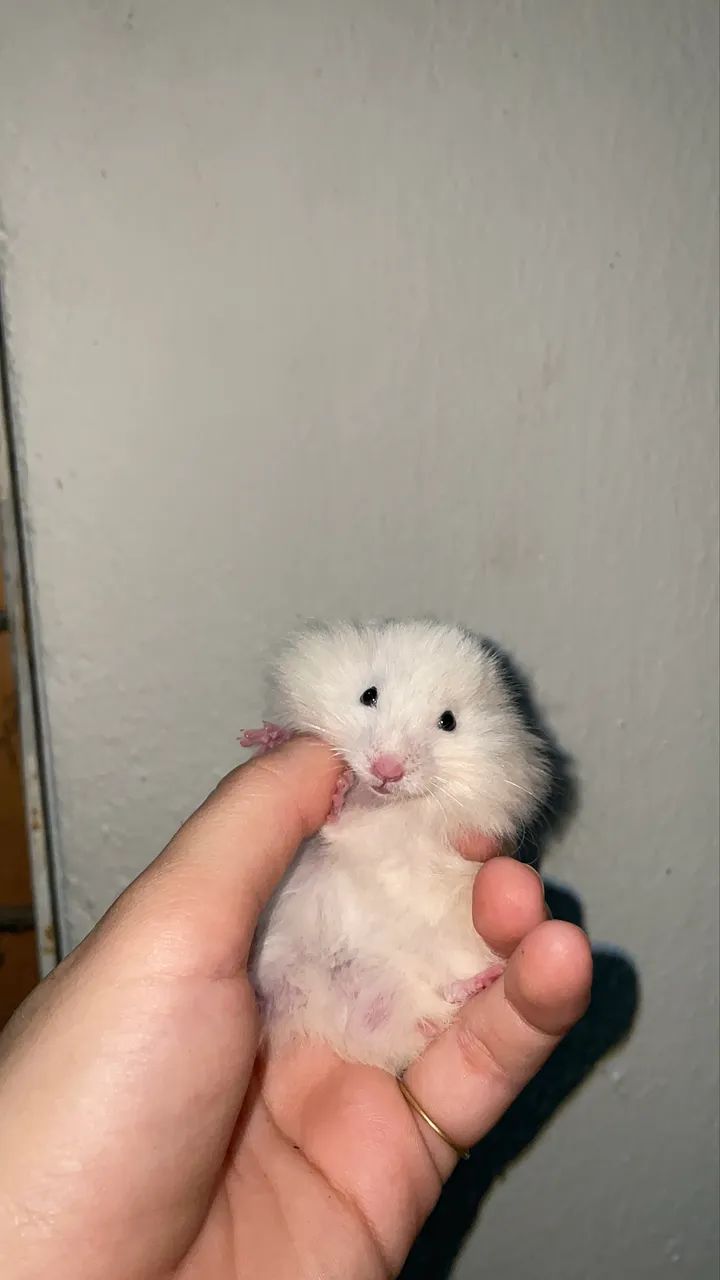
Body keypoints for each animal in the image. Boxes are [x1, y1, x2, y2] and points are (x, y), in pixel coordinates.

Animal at [243, 619, 550, 1075]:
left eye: (448, 721)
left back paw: (482, 982)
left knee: (444, 997)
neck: (380, 802)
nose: (386, 771)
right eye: (369, 695)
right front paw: (263, 737)